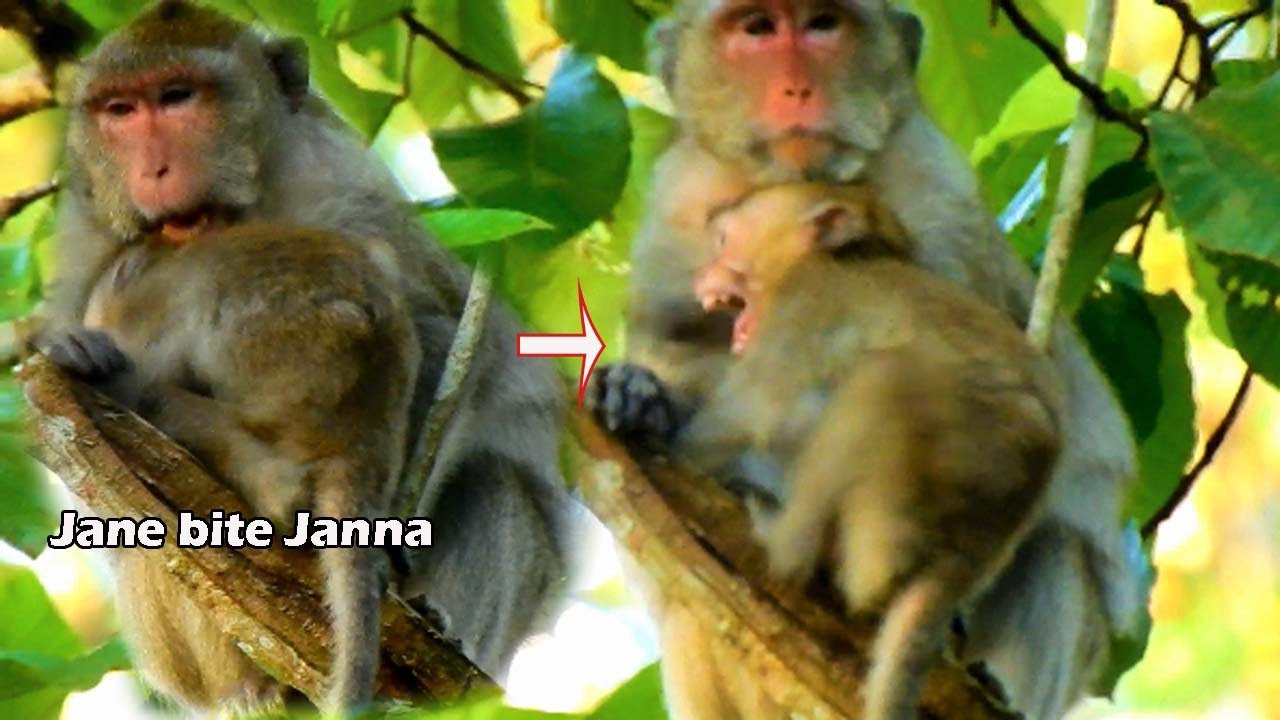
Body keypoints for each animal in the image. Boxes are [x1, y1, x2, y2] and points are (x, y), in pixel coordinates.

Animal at [37, 0, 577, 712]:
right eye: (119, 111)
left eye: (178, 97)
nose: (153, 172)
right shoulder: (87, 241)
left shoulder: (347, 189)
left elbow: (452, 340)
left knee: (492, 476)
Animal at [676, 182, 1064, 720]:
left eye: (723, 240)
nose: (700, 278)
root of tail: (971, 548)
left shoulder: (803, 303)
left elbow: (741, 419)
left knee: (877, 382)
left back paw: (783, 541)